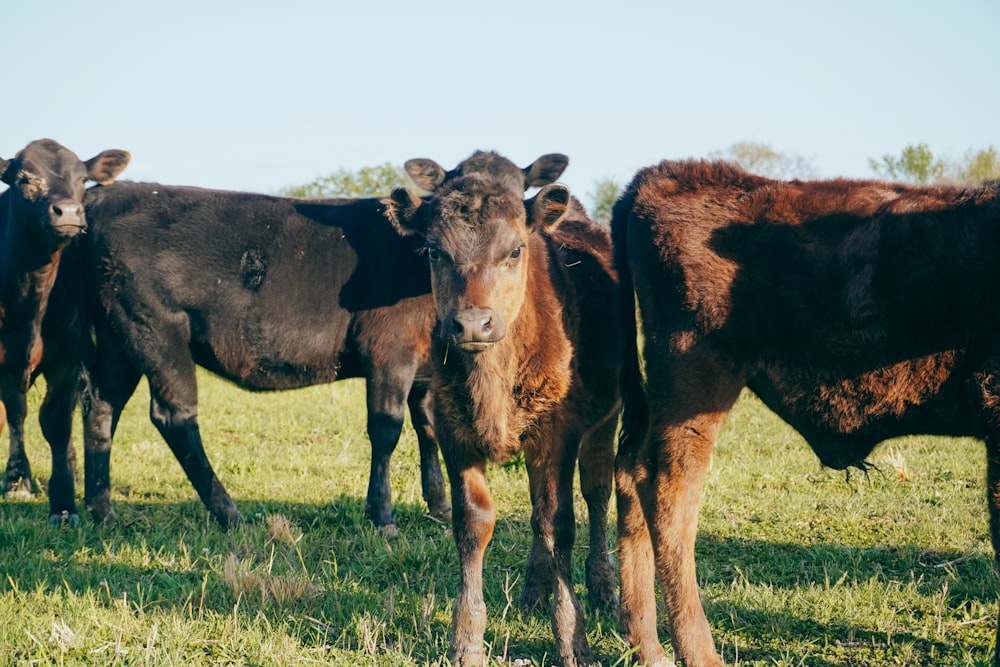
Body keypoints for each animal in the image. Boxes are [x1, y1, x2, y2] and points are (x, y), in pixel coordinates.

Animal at [0, 137, 131, 520]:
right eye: (25, 180)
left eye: (83, 180)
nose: (70, 212)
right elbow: (17, 413)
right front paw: (17, 479)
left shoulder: (68, 357)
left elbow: (56, 421)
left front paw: (62, 502)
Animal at [73, 153, 568, 536]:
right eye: (434, 248)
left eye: (515, 245)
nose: (472, 323)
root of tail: (106, 195)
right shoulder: (390, 352)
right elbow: (386, 428)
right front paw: (382, 516)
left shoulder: (428, 365)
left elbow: (427, 426)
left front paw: (440, 507)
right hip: (156, 330)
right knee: (174, 415)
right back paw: (229, 512)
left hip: (118, 341)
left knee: (100, 406)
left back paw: (102, 511)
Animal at [386, 174, 620, 667]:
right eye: (434, 251)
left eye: (514, 251)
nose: (473, 324)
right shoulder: (453, 432)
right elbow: (474, 522)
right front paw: (466, 639)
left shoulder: (557, 435)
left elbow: (559, 522)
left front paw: (572, 639)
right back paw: (533, 588)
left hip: (605, 421)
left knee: (595, 493)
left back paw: (604, 587)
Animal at [608, 159, 1000, 664]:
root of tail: (658, 176)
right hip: (695, 384)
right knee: (669, 492)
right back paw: (699, 652)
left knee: (630, 471)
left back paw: (648, 646)